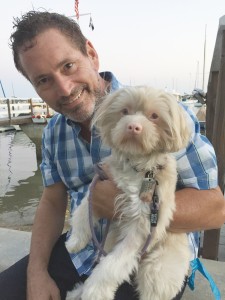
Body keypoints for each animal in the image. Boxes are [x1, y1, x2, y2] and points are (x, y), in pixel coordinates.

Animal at [66, 85, 192, 298]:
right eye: (125, 111)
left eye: (154, 116)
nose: (133, 126)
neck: (138, 166)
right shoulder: (100, 184)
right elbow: (82, 213)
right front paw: (74, 241)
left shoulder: (142, 226)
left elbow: (111, 266)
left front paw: (95, 291)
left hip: (158, 270)